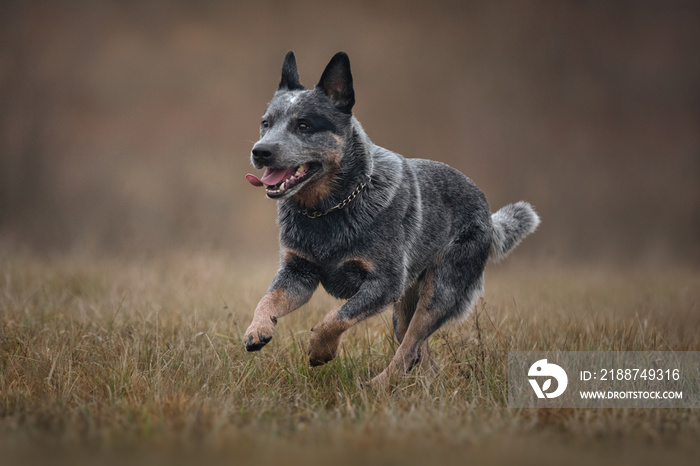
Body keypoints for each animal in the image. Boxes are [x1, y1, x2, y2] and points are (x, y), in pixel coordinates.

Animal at [243, 52, 540, 386]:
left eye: (303, 125)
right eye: (265, 123)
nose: (260, 151)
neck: (329, 210)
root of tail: (488, 215)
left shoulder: (384, 283)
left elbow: (337, 317)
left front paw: (321, 350)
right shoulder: (298, 273)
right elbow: (268, 298)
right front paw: (257, 329)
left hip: (439, 292)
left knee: (409, 348)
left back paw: (377, 385)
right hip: (404, 309)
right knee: (420, 353)